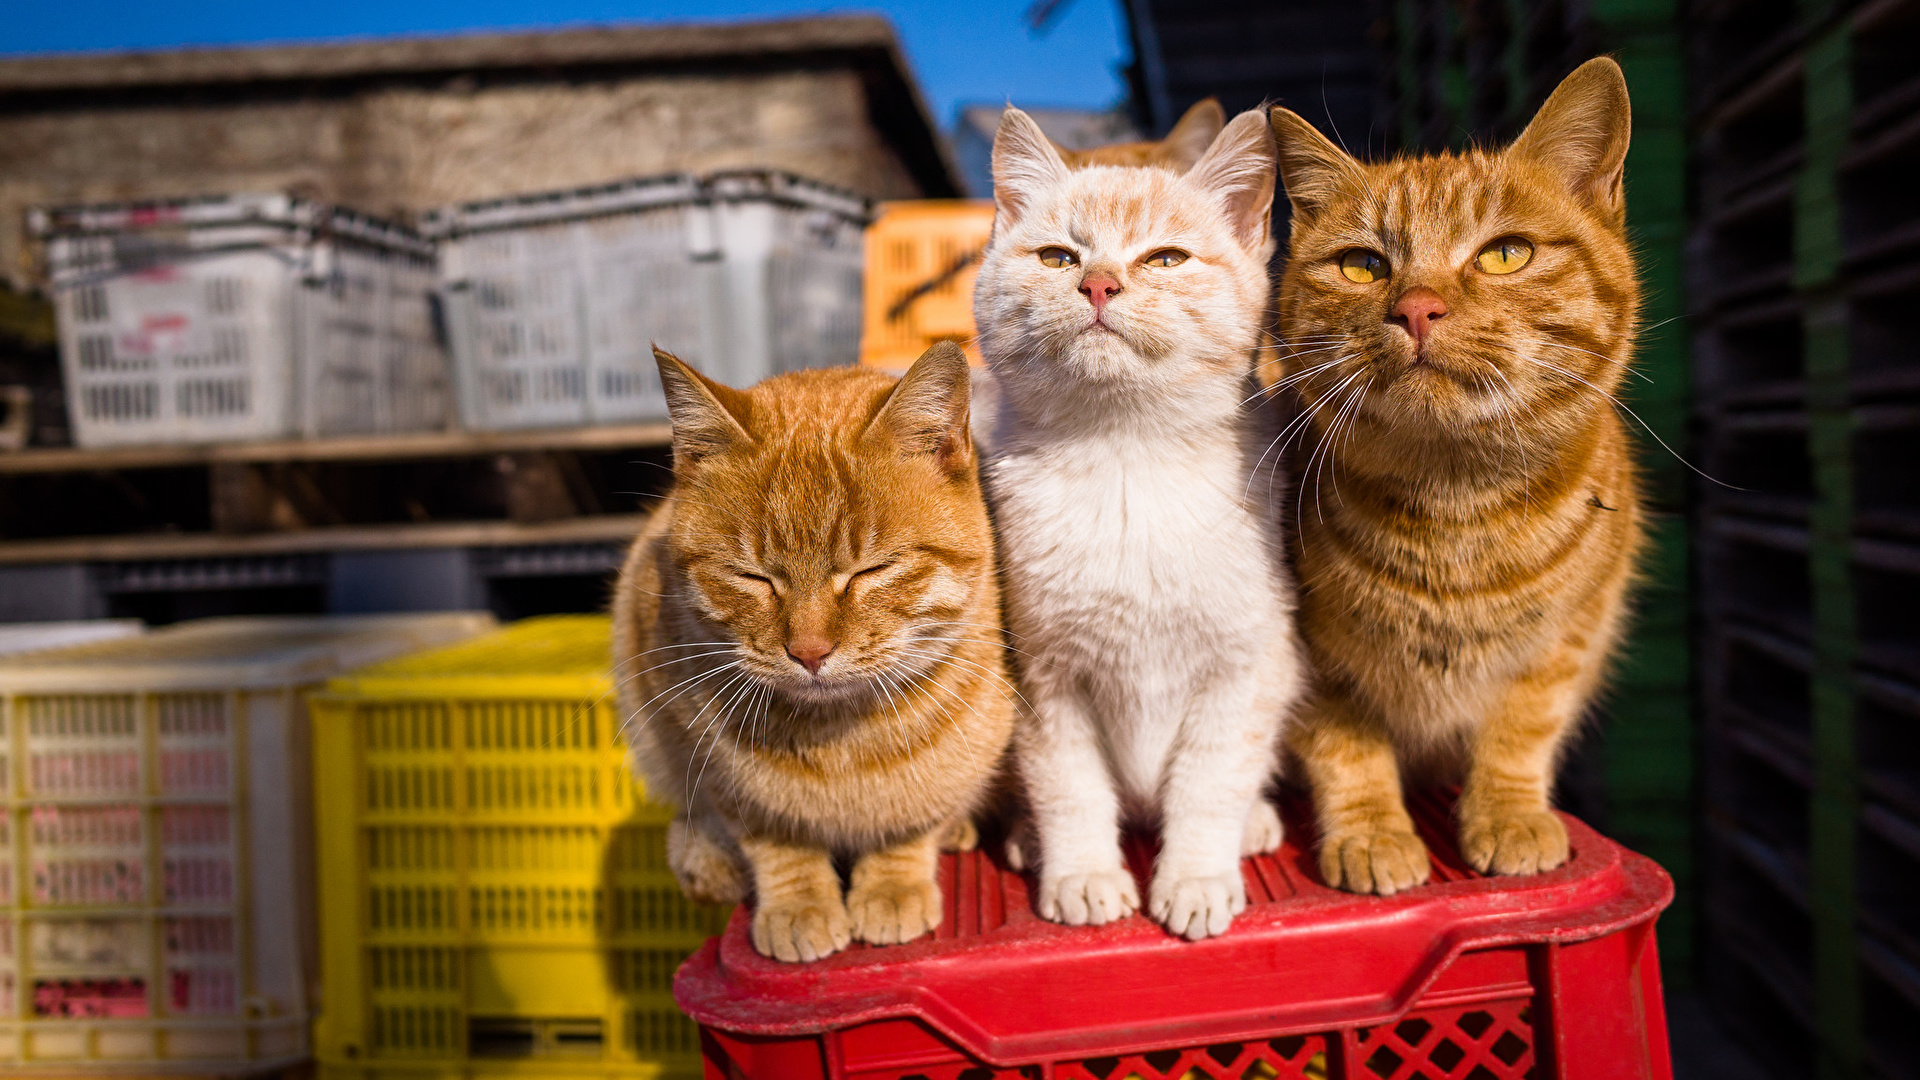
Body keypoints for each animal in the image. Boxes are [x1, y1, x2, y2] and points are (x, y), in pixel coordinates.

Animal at [1267, 58, 1643, 891]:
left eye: (1505, 253)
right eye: (1363, 265)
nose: (1416, 307)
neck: (1455, 508)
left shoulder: (1568, 639)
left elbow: (1520, 732)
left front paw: (1507, 816)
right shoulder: (1308, 663)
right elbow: (1347, 747)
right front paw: (1373, 832)